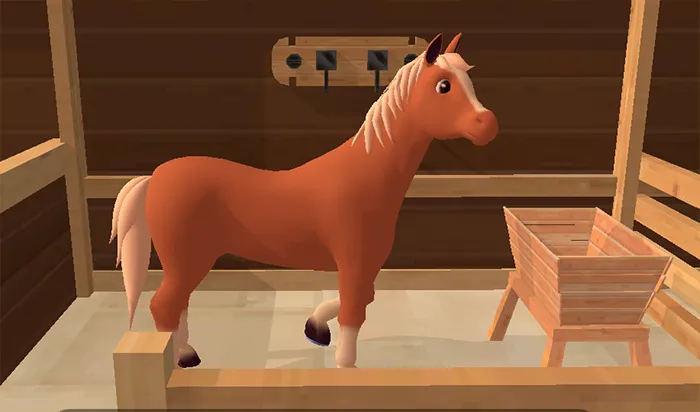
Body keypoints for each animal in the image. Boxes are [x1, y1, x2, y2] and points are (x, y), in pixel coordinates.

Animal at [110, 33, 499, 369]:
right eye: (443, 85)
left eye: (467, 78)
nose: (488, 124)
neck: (364, 176)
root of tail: (156, 176)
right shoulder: (354, 261)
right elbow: (354, 311)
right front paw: (345, 365)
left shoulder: (366, 263)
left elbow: (361, 299)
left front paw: (315, 329)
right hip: (188, 260)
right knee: (164, 305)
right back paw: (182, 359)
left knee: (179, 306)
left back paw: (187, 351)